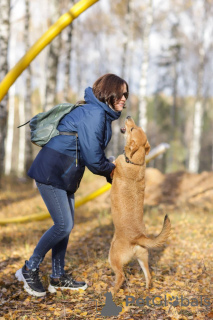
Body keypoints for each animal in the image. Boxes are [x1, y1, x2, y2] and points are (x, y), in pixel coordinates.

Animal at [108, 116, 171, 294]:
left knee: (121, 277)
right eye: (136, 127)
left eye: (131, 129)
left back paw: (112, 291)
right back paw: (147, 289)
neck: (135, 162)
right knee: (149, 276)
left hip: (112, 255)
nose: (128, 117)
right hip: (143, 258)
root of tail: (138, 238)